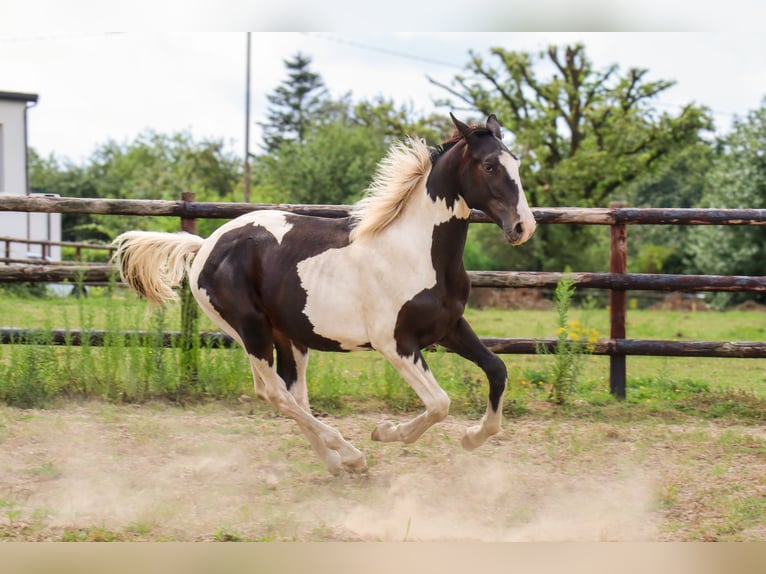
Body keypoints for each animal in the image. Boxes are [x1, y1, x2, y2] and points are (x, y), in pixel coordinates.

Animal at [114, 113, 536, 476]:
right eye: (489, 166)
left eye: (515, 162)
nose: (522, 227)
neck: (415, 251)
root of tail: (204, 245)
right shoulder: (395, 343)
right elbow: (439, 403)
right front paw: (385, 431)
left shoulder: (450, 328)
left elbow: (497, 370)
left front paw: (472, 438)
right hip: (249, 330)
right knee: (275, 394)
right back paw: (351, 453)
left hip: (289, 336)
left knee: (292, 395)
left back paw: (337, 462)